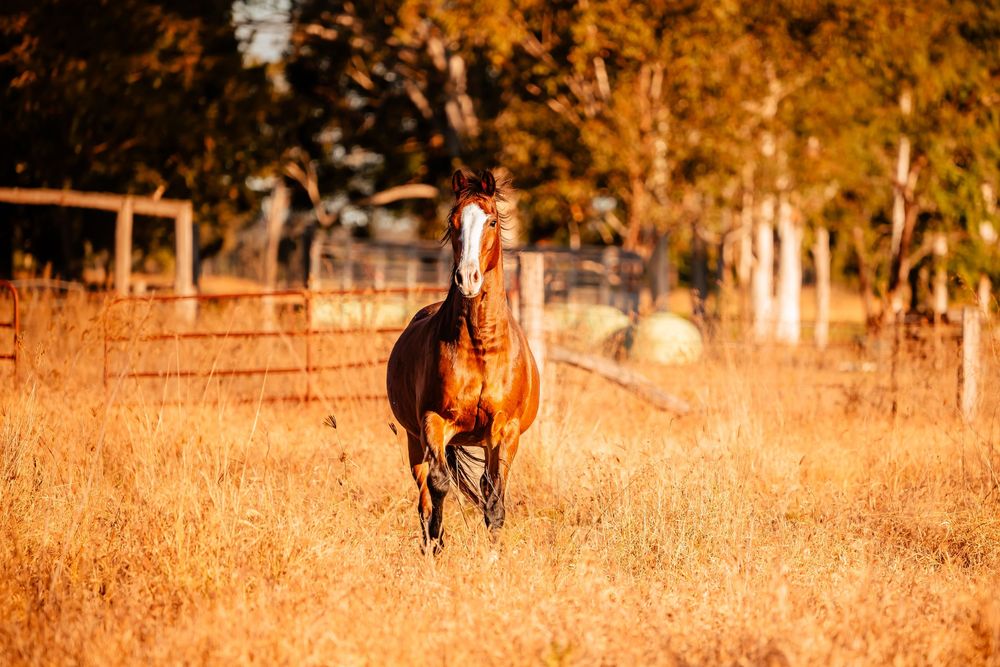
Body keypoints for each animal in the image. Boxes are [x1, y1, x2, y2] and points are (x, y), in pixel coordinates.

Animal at [386, 168, 540, 551]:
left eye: (492, 220)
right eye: (453, 221)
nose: (467, 278)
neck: (481, 347)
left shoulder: (505, 430)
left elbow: (494, 498)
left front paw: (493, 555)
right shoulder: (433, 421)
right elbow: (438, 485)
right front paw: (436, 543)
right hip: (414, 440)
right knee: (425, 492)